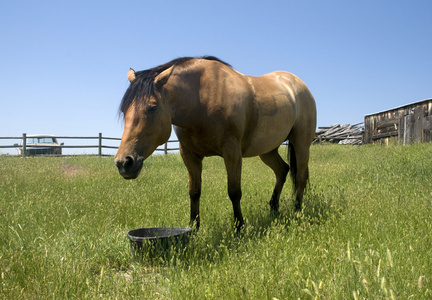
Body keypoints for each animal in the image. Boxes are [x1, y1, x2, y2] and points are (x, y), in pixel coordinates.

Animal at [115, 55, 318, 230]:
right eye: (124, 110)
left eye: (153, 107)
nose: (124, 163)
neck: (201, 99)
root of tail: (296, 83)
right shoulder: (189, 155)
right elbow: (194, 191)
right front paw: (194, 227)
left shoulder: (232, 152)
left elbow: (234, 192)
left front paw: (239, 227)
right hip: (268, 150)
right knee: (282, 170)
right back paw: (274, 209)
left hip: (301, 143)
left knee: (300, 177)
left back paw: (297, 211)